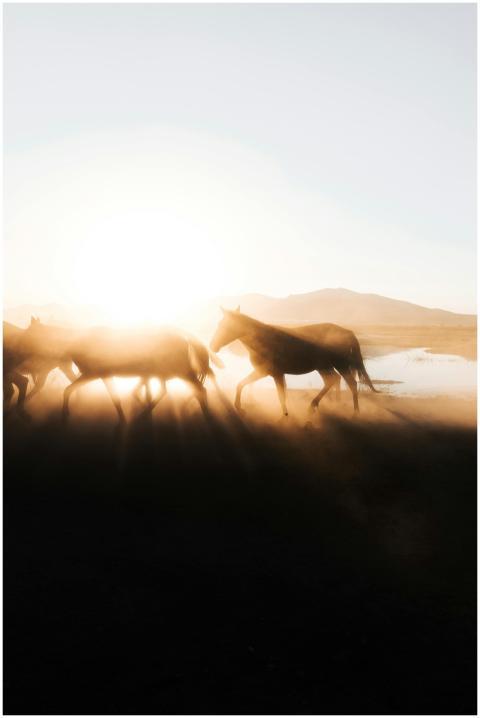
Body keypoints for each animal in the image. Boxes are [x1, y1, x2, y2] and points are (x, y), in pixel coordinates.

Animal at [210, 307, 378, 417]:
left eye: (224, 326)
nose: (212, 346)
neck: (263, 340)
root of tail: (348, 332)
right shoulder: (264, 372)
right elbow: (241, 384)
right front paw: (239, 407)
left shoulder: (274, 373)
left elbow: (280, 395)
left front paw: (285, 415)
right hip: (327, 366)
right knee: (340, 382)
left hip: (334, 365)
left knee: (343, 382)